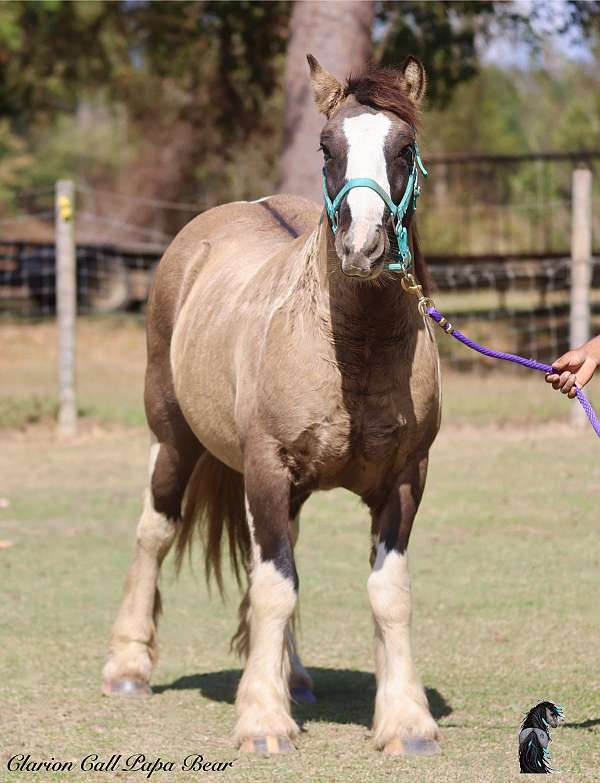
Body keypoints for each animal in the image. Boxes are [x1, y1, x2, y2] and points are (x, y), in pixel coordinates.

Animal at [102, 52, 440, 756]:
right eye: (327, 147)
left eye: (404, 148)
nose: (362, 246)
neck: (353, 353)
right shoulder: (265, 468)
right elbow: (275, 586)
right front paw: (262, 720)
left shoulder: (405, 480)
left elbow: (387, 593)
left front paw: (406, 722)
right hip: (173, 441)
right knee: (155, 531)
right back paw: (128, 666)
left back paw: (295, 676)